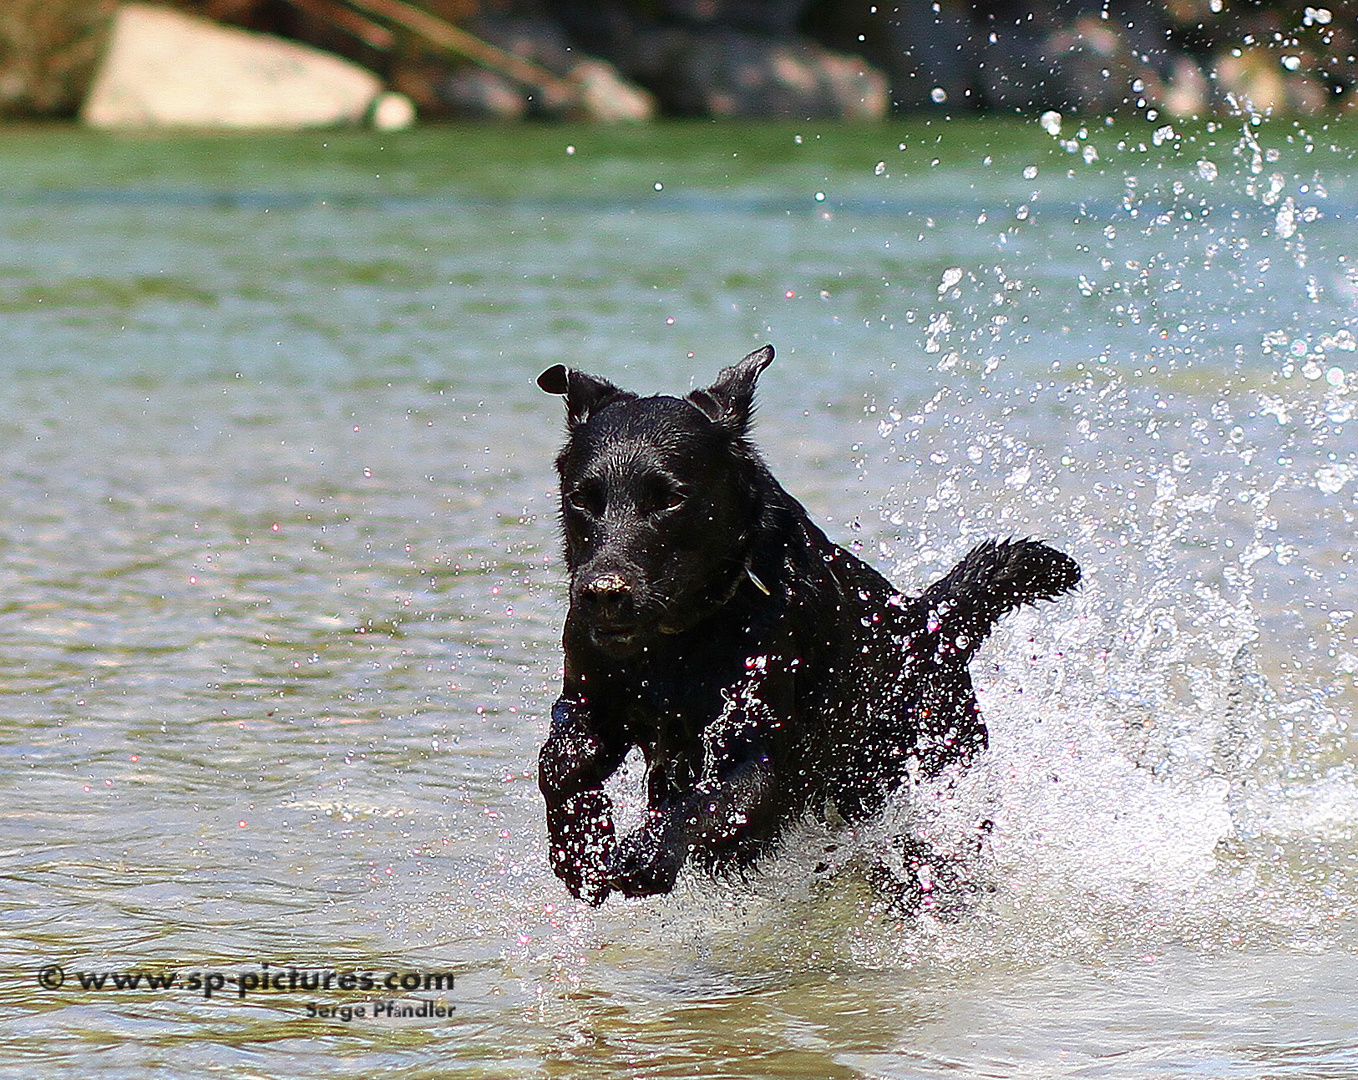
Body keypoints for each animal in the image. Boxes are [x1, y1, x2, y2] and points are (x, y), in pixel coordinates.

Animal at [535, 346, 1075, 902]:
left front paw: (644, 855)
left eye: (670, 499)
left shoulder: (761, 756)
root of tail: (930, 622)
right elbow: (559, 760)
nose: (603, 594)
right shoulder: (591, 694)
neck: (680, 642)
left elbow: (709, 801)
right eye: (581, 499)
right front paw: (579, 843)